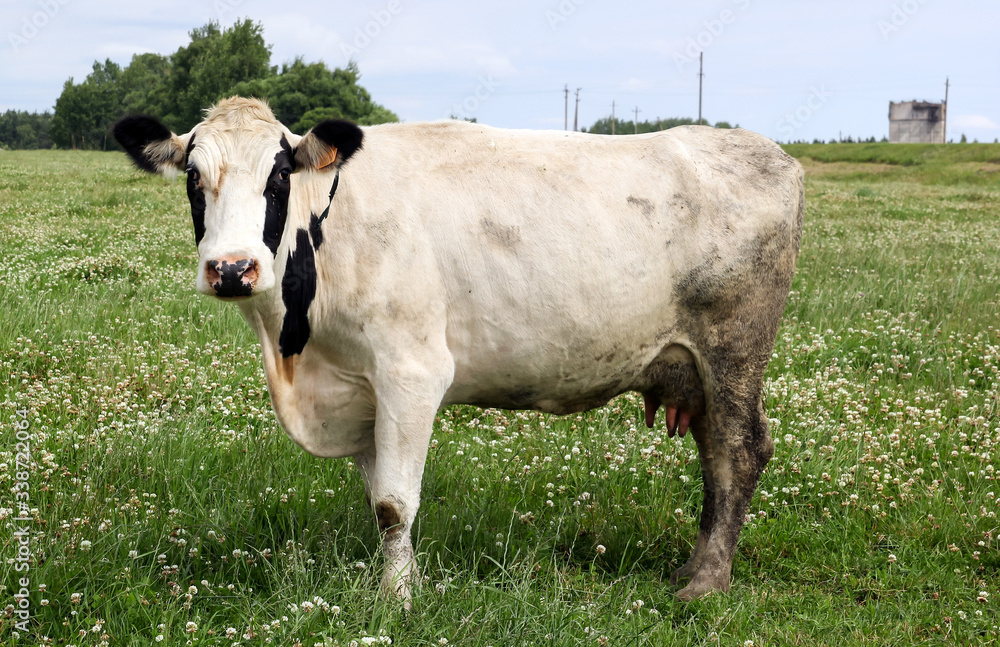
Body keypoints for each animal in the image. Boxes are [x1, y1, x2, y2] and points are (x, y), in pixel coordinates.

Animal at [115, 97, 804, 604]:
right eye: (194, 177)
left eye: (279, 175)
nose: (232, 269)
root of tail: (767, 151)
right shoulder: (361, 389)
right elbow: (379, 495)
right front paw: (407, 580)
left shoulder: (411, 372)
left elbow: (393, 505)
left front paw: (396, 600)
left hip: (734, 352)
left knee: (737, 453)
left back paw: (706, 581)